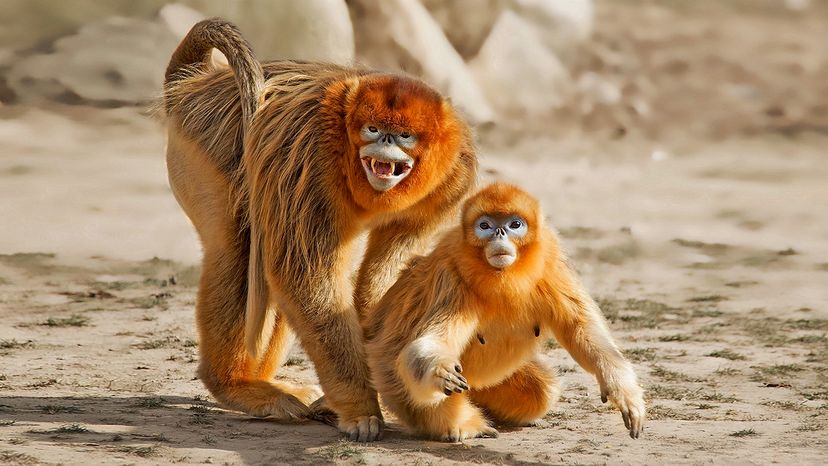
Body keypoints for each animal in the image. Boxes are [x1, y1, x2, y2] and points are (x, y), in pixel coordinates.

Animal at [161, 19, 477, 441]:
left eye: (405, 135)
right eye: (372, 128)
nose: (385, 143)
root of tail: (192, 84)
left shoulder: (454, 174)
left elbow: (383, 279)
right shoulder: (309, 153)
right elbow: (303, 277)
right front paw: (360, 408)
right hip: (200, 150)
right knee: (244, 252)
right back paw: (235, 386)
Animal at [365, 183, 645, 441]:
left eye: (515, 225)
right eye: (485, 226)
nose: (499, 234)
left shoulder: (551, 260)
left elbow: (581, 329)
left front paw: (624, 391)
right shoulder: (451, 276)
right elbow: (428, 345)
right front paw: (438, 371)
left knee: (542, 389)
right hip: (387, 371)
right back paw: (465, 426)